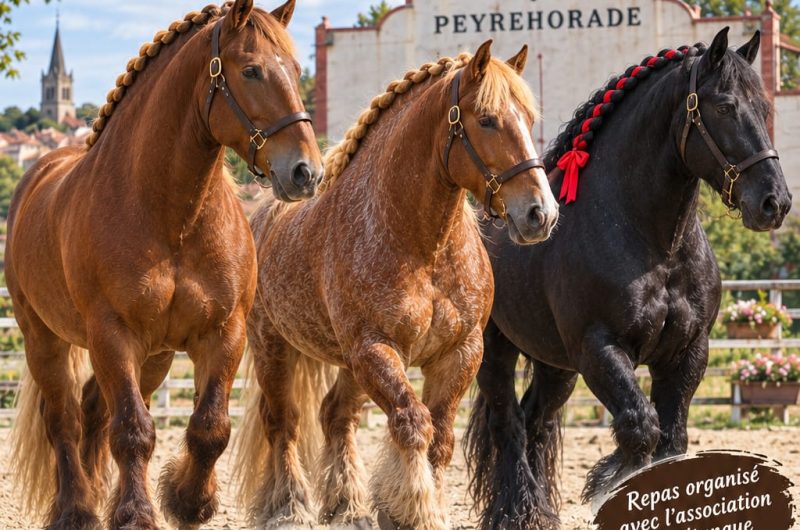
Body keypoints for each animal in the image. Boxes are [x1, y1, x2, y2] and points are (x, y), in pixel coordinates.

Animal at [6, 1, 322, 528]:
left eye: (298, 70)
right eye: (251, 70)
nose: (306, 172)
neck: (172, 218)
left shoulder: (223, 333)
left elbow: (210, 427)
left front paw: (188, 500)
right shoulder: (113, 336)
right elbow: (133, 430)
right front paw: (137, 513)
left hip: (153, 358)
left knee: (93, 411)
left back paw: (100, 495)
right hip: (43, 339)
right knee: (65, 420)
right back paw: (77, 508)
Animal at [230, 40, 559, 530]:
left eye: (530, 119)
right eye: (486, 119)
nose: (541, 213)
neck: (422, 244)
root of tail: (263, 216)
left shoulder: (459, 353)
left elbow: (440, 437)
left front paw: (412, 508)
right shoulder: (377, 350)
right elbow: (412, 424)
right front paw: (416, 510)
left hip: (347, 364)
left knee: (335, 416)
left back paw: (347, 505)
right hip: (274, 346)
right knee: (283, 422)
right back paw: (289, 507)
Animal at [464, 28, 792, 530]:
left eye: (765, 108)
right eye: (723, 106)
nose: (775, 202)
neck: (653, 244)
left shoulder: (687, 352)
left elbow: (672, 439)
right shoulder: (600, 348)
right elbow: (641, 428)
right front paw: (607, 479)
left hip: (556, 367)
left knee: (536, 420)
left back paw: (540, 511)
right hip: (496, 354)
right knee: (509, 425)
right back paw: (514, 513)